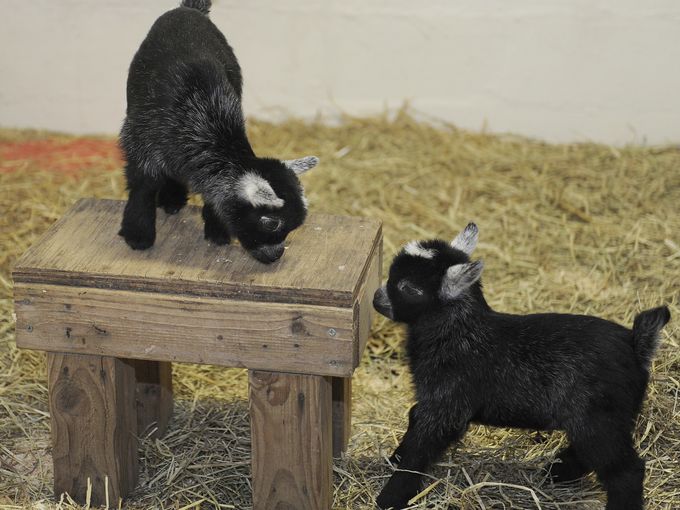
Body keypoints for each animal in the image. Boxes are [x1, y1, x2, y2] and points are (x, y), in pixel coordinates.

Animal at [374, 223, 672, 510]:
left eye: (409, 288)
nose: (377, 298)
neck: (459, 333)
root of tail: (636, 346)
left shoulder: (447, 404)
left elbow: (420, 449)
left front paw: (389, 497)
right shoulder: (434, 399)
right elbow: (414, 417)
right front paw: (394, 457)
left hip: (598, 417)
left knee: (625, 470)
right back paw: (555, 472)